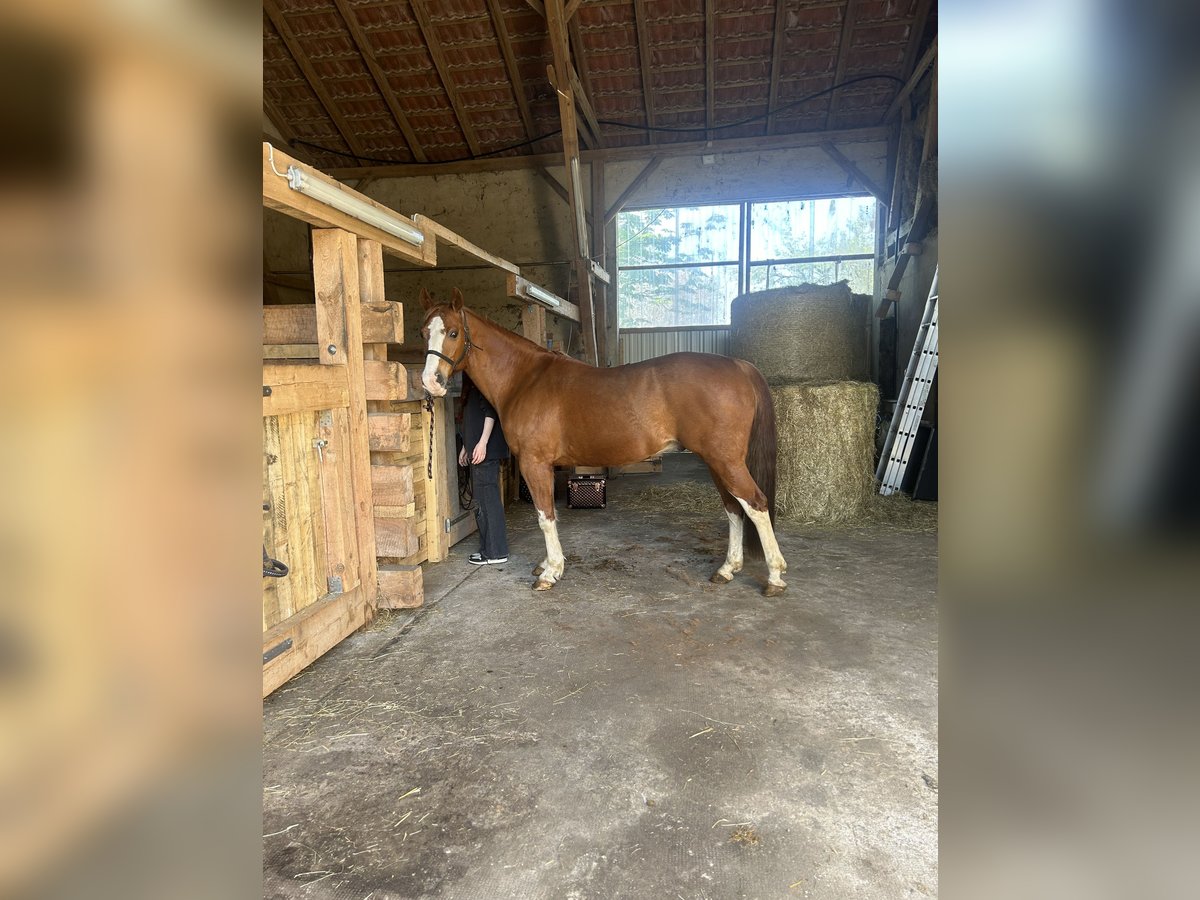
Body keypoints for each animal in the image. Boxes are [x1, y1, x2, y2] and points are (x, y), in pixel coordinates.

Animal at [420, 290, 787, 600]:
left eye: (453, 333)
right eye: (425, 332)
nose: (430, 383)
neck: (525, 379)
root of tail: (738, 366)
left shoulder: (534, 462)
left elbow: (544, 516)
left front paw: (551, 573)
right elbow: (549, 514)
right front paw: (547, 564)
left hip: (726, 462)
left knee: (755, 504)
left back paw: (774, 576)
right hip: (717, 463)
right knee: (734, 508)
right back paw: (728, 569)